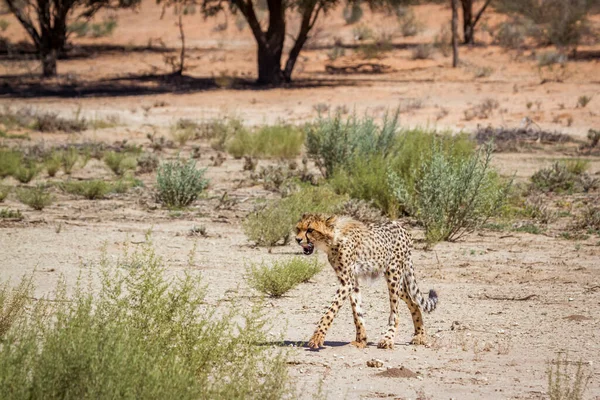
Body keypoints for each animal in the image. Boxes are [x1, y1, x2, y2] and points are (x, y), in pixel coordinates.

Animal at [294, 214, 438, 348]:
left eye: (310, 229)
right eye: (298, 228)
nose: (297, 239)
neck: (332, 240)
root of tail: (401, 226)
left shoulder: (347, 282)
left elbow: (330, 311)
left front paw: (317, 337)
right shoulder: (352, 281)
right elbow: (357, 312)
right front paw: (361, 340)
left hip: (393, 274)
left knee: (395, 313)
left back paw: (388, 339)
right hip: (397, 282)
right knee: (413, 302)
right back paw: (420, 335)